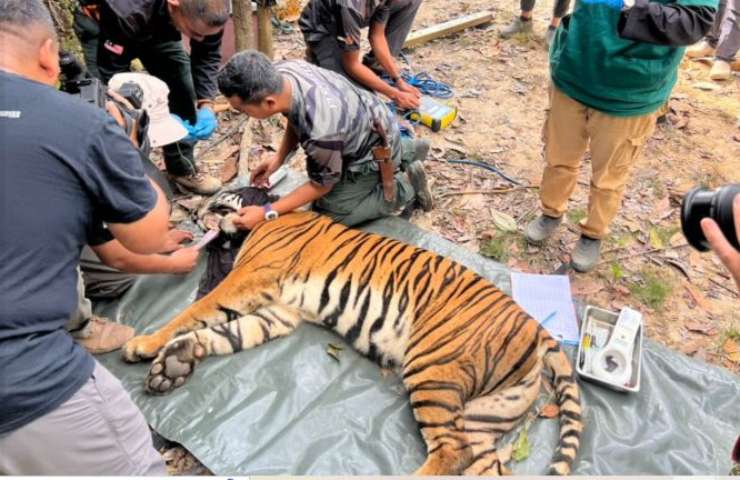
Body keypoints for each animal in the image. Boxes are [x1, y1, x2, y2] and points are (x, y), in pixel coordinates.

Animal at [122, 211, 583, 475]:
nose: (195, 214)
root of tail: (535, 326)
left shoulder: (249, 278)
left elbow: (192, 313)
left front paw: (143, 344)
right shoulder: (280, 314)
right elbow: (222, 334)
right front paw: (172, 366)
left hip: (433, 370)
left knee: (452, 451)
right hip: (484, 417)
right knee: (478, 461)